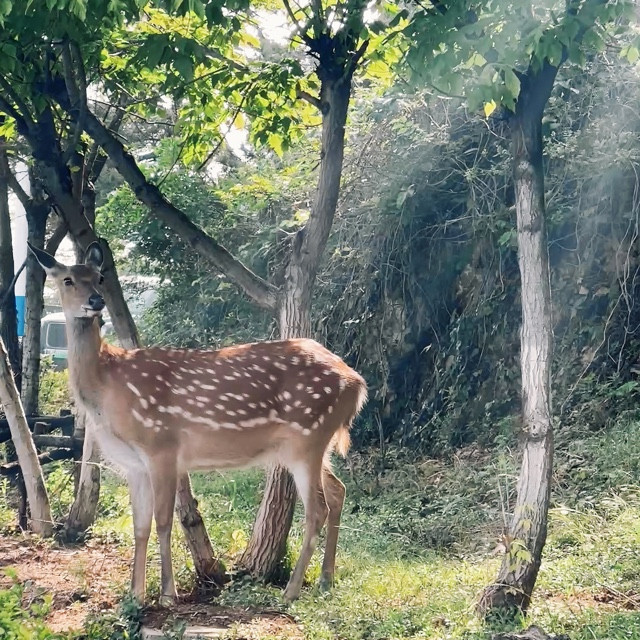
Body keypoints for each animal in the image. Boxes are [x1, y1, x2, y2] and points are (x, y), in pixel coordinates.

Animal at [29, 241, 367, 605]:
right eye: (67, 280)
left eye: (99, 277)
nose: (95, 301)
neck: (107, 389)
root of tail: (357, 382)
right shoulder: (134, 463)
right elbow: (140, 526)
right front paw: (135, 594)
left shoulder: (160, 445)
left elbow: (164, 521)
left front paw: (167, 594)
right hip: (313, 444)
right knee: (338, 492)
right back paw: (325, 580)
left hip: (308, 436)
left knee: (317, 509)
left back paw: (291, 591)